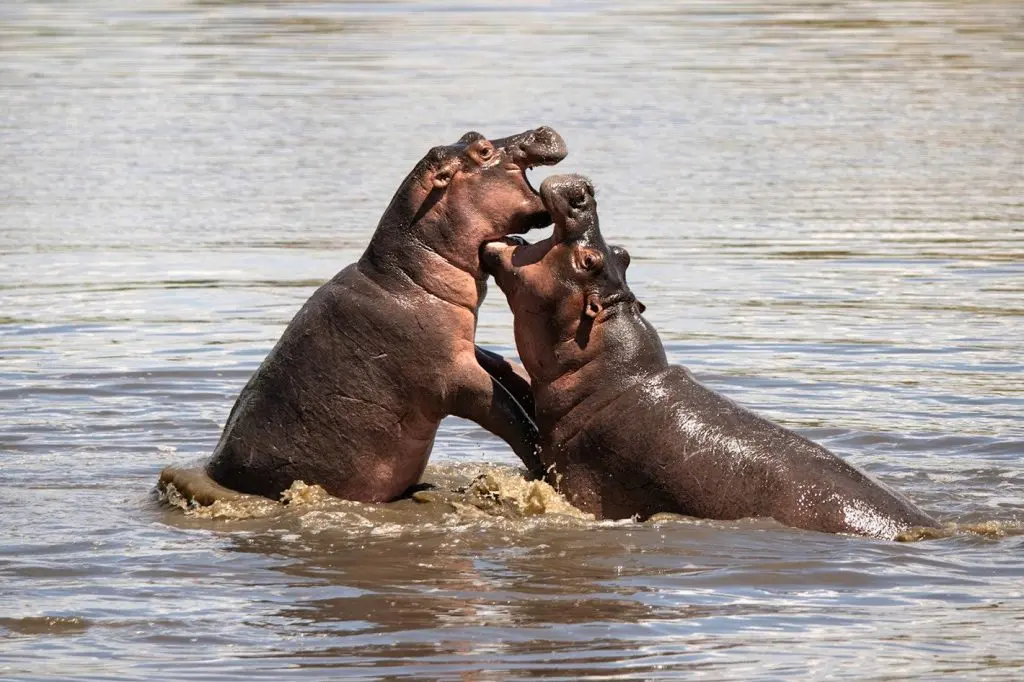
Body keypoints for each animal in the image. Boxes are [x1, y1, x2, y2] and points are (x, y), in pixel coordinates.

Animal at [162, 128, 567, 503]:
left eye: (471, 135)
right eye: (482, 150)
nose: (542, 130)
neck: (408, 277)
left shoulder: (466, 348)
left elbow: (504, 369)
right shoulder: (453, 377)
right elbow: (507, 413)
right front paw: (542, 464)